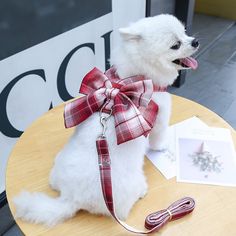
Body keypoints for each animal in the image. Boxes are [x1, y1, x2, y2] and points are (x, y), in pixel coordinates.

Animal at [13, 13, 198, 226]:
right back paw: (141, 191)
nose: (195, 41)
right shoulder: (159, 118)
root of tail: (71, 198)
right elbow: (158, 139)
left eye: (185, 32)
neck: (135, 78)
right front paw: (162, 147)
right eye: (175, 45)